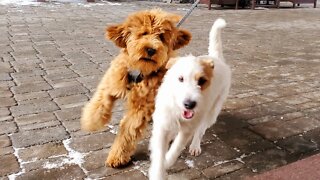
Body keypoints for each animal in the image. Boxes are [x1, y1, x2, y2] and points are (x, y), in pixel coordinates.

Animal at [80, 9, 191, 168]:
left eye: (161, 37)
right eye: (143, 33)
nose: (151, 50)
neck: (139, 71)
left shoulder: (140, 107)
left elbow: (127, 131)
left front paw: (117, 156)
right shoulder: (111, 83)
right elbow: (99, 102)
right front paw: (91, 122)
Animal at [149, 18, 231, 180]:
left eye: (201, 81)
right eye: (180, 79)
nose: (190, 104)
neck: (177, 108)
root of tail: (216, 59)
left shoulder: (187, 129)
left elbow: (175, 149)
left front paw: (167, 162)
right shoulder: (162, 125)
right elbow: (160, 153)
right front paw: (158, 172)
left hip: (211, 112)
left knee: (201, 129)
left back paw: (195, 146)